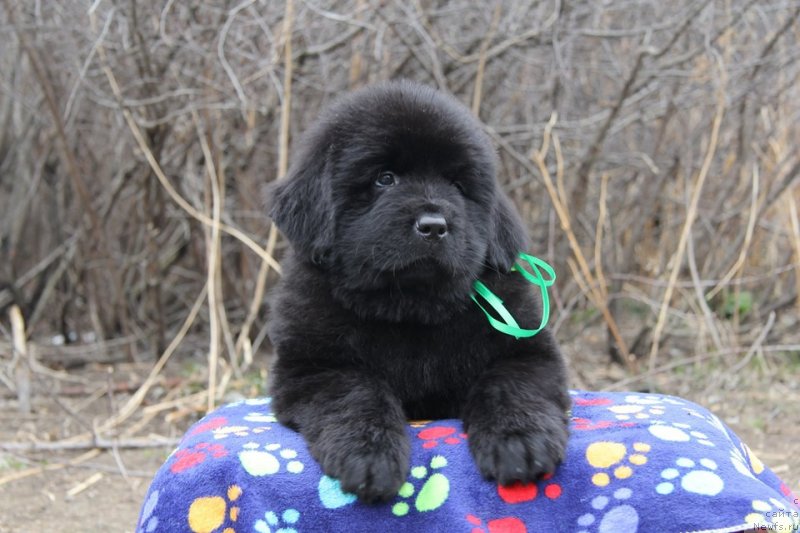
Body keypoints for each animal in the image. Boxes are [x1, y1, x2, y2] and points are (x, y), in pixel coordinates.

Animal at [268, 81, 568, 500]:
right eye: (385, 178)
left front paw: (519, 440)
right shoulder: (311, 366)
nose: (434, 226)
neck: (410, 308)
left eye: (457, 185)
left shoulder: (529, 350)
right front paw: (369, 453)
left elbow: (509, 384)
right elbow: (356, 389)